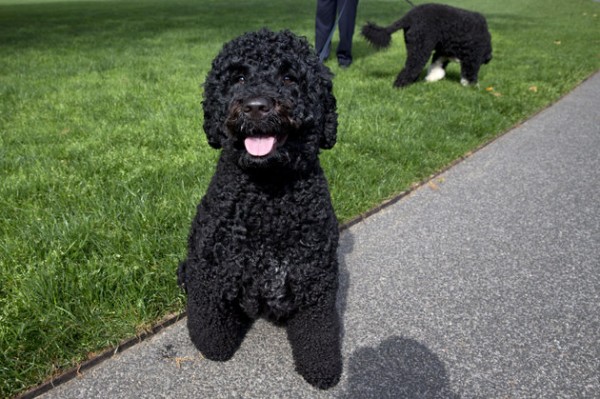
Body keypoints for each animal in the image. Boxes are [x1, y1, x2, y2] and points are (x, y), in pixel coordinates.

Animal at [176, 28, 340, 390]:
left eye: (289, 77)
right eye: (238, 77)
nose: (256, 107)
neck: (268, 198)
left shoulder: (314, 278)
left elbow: (319, 333)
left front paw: (321, 368)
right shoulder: (210, 268)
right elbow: (210, 328)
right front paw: (213, 345)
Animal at [360, 2, 492, 87]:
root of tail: (410, 16)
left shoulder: (442, 52)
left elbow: (436, 67)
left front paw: (431, 78)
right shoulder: (473, 56)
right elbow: (470, 72)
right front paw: (472, 85)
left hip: (415, 46)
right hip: (421, 48)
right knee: (410, 68)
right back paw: (400, 85)